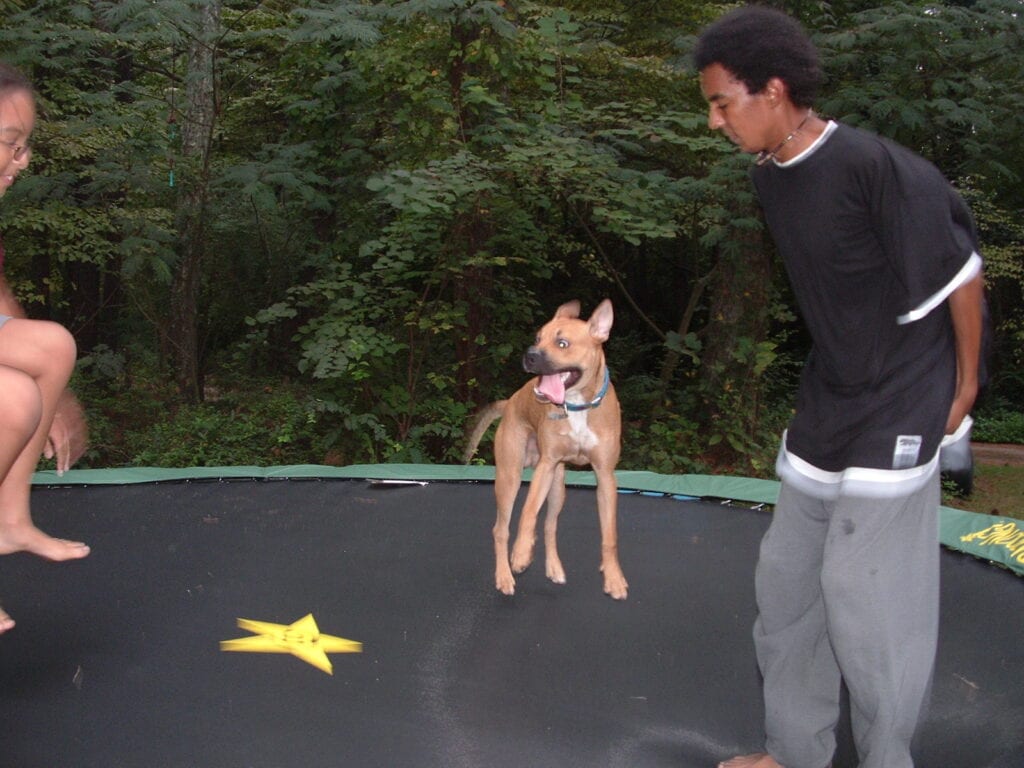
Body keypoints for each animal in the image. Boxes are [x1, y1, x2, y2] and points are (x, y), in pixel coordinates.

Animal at [462, 301, 622, 602]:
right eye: (537, 338)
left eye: (562, 343)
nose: (529, 355)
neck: (576, 405)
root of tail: (509, 402)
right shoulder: (546, 465)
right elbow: (527, 512)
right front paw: (521, 552)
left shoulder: (605, 476)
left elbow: (609, 535)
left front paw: (614, 576)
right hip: (510, 477)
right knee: (501, 529)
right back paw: (505, 574)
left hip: (558, 487)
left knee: (549, 525)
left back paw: (553, 566)